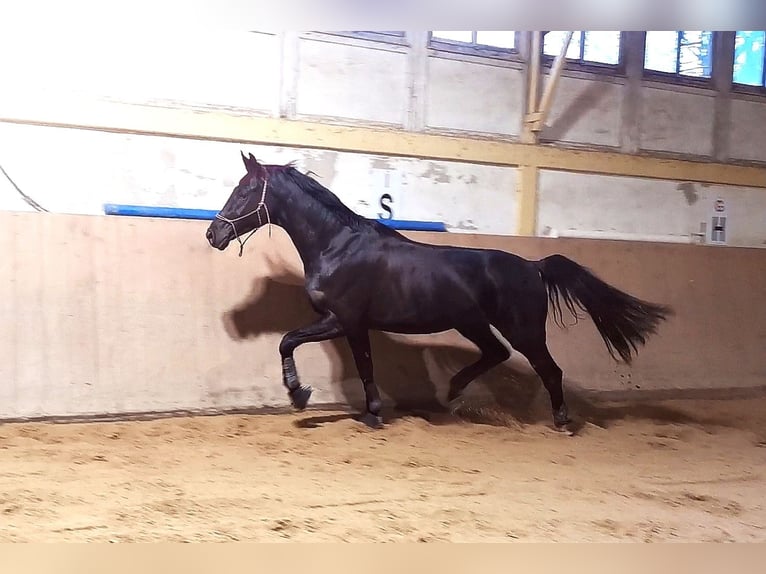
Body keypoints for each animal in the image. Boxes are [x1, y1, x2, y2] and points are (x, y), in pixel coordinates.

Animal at [206, 152, 672, 430]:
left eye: (245, 191)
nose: (214, 234)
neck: (337, 246)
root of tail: (533, 267)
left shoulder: (344, 320)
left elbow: (298, 344)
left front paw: (304, 397)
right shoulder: (349, 325)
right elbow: (344, 361)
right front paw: (358, 410)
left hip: (523, 330)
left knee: (549, 369)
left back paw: (560, 420)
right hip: (474, 324)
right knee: (495, 354)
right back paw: (452, 392)